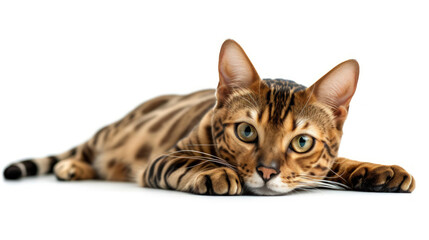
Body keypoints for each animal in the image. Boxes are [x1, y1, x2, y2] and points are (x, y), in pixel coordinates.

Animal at [1, 39, 412, 195]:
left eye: (301, 142)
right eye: (246, 131)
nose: (267, 171)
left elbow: (337, 164)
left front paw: (377, 169)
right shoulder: (164, 157)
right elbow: (190, 162)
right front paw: (214, 172)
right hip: (111, 133)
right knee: (83, 150)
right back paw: (73, 166)